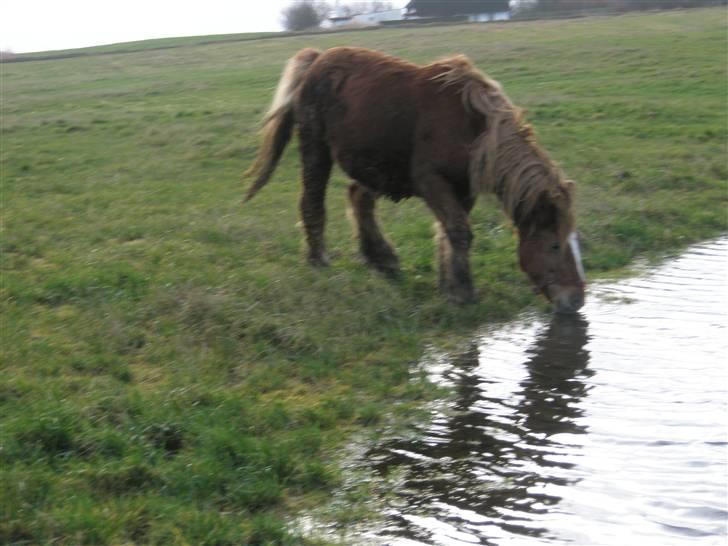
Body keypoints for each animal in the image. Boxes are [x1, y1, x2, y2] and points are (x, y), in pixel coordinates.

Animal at [245, 49, 584, 312]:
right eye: (554, 245)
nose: (576, 300)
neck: (474, 132)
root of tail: (317, 59)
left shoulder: (463, 190)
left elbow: (449, 233)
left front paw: (449, 285)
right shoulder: (432, 181)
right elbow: (458, 232)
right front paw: (462, 292)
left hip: (373, 164)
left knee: (359, 199)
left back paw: (382, 258)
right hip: (316, 150)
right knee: (313, 201)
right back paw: (318, 260)